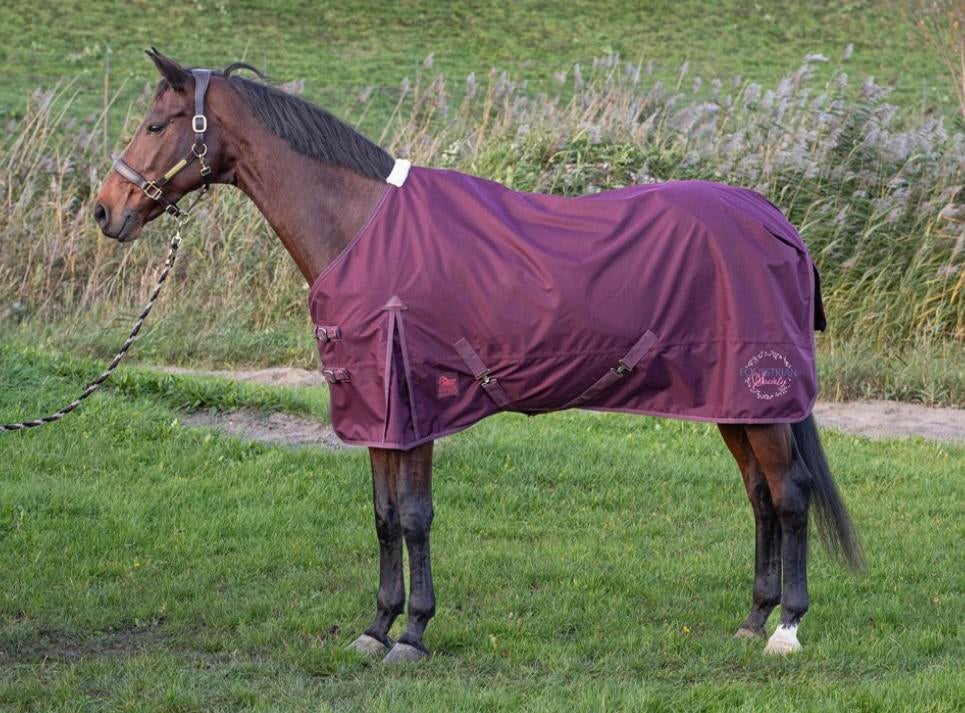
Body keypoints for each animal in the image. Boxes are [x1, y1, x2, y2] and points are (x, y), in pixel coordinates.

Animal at [93, 50, 861, 663]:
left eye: (157, 124)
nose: (105, 209)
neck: (363, 229)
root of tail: (778, 224)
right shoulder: (377, 412)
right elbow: (382, 515)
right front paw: (375, 627)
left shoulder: (416, 409)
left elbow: (414, 516)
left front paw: (412, 635)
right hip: (731, 402)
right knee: (759, 497)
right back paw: (752, 618)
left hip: (761, 399)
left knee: (789, 496)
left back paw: (786, 629)